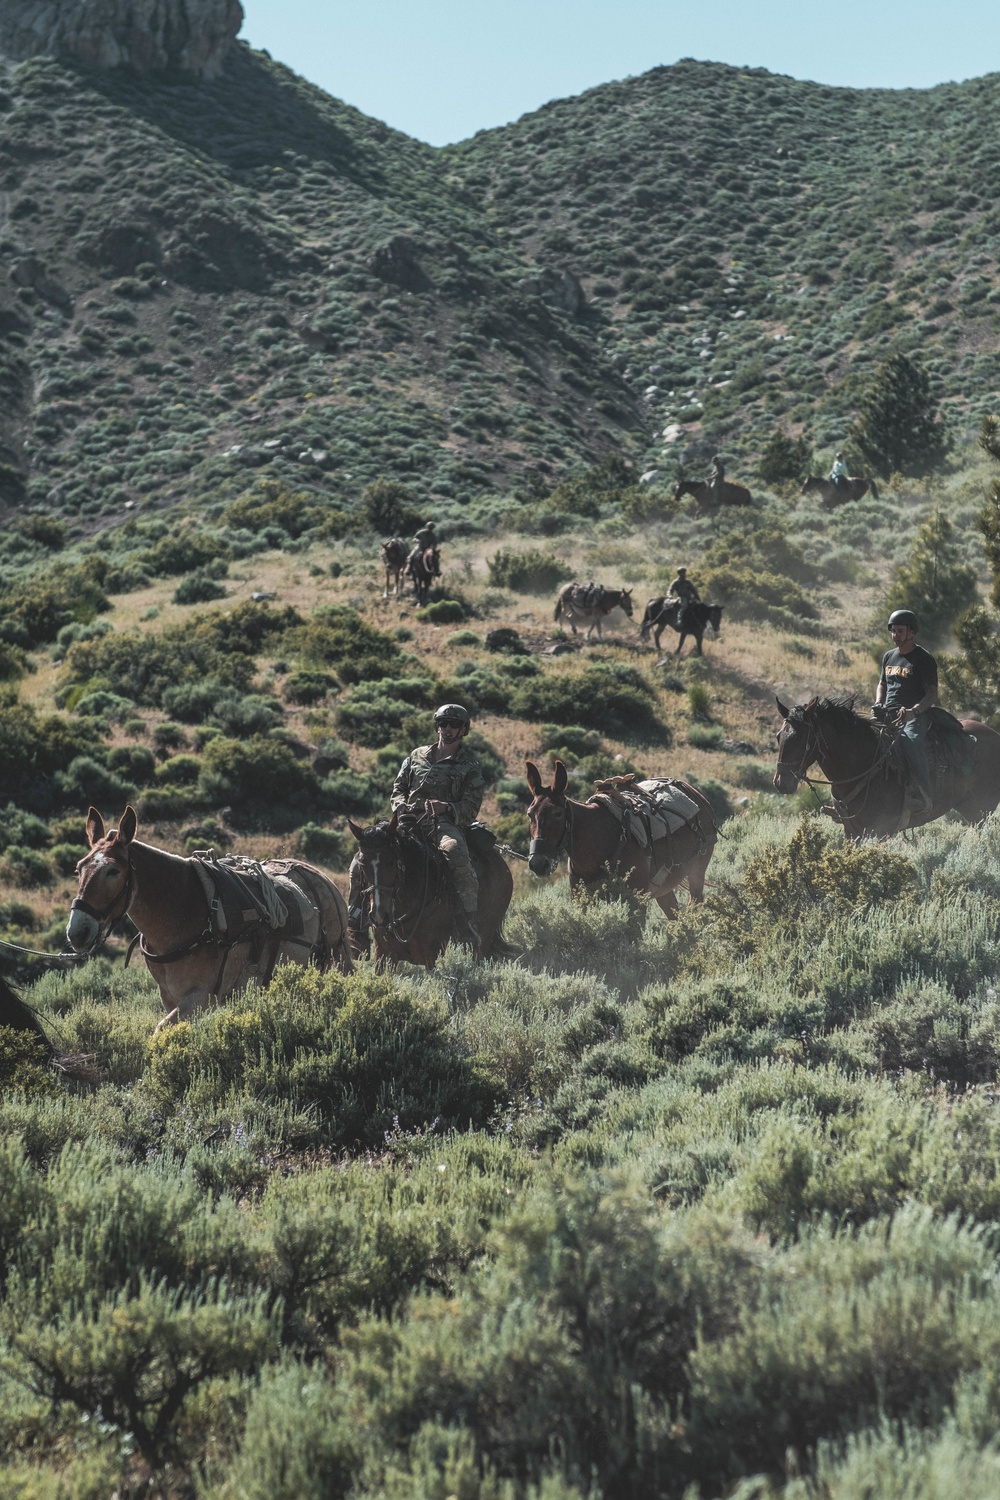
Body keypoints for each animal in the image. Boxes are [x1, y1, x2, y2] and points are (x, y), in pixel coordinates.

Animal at [69, 810, 352, 1032]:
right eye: (79, 868)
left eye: (113, 871)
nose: (77, 931)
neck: (184, 913)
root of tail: (325, 880)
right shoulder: (170, 998)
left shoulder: (199, 998)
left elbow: (160, 1031)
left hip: (333, 965)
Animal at [346, 816, 515, 966]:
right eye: (362, 863)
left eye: (391, 861)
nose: (379, 915)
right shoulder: (383, 955)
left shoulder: (432, 956)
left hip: (483, 941)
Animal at [527, 762, 716, 912]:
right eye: (529, 814)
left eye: (558, 814)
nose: (538, 863)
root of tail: (694, 792)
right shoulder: (582, 902)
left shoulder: (636, 901)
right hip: (663, 889)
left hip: (697, 872)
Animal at [779, 696, 1000, 840]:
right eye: (778, 736)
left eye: (799, 738)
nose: (781, 783)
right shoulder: (853, 832)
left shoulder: (880, 831)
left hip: (982, 810)